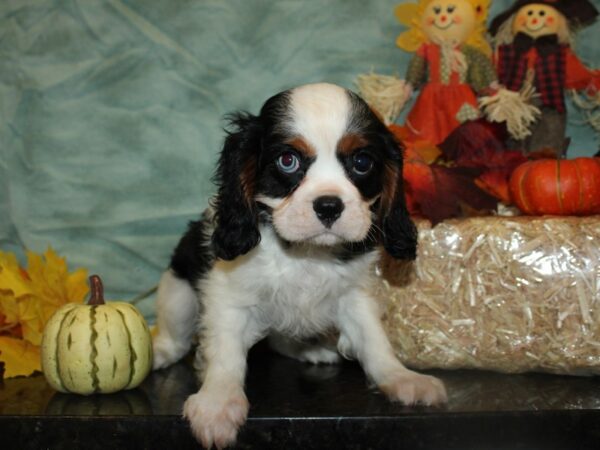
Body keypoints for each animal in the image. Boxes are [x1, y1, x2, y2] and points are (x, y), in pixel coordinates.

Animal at [152, 82, 448, 448]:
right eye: (288, 160)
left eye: (362, 162)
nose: (329, 206)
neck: (305, 252)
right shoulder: (228, 295)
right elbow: (225, 351)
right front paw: (218, 402)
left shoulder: (355, 295)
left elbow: (374, 339)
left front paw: (400, 377)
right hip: (178, 295)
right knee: (177, 335)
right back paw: (160, 351)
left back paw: (310, 349)